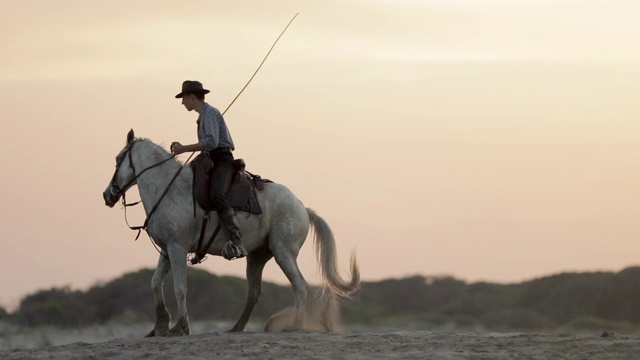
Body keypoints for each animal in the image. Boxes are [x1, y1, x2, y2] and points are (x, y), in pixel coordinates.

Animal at [102, 129, 358, 334]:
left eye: (118, 159)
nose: (107, 195)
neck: (169, 188)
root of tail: (303, 207)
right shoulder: (167, 249)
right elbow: (156, 283)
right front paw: (159, 326)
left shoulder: (177, 248)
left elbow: (180, 288)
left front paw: (180, 327)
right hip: (257, 256)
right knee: (254, 293)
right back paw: (237, 327)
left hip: (283, 252)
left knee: (300, 286)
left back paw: (294, 325)